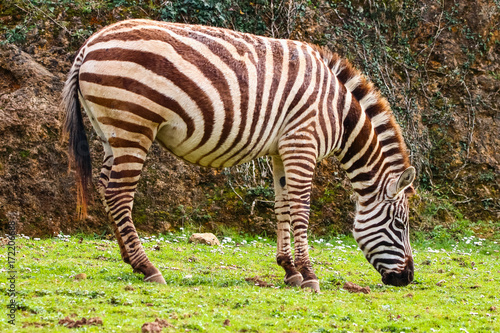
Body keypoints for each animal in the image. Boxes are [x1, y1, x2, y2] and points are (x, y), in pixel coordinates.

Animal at [62, 18, 416, 290]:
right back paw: (148, 267)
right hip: (133, 123)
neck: (340, 114)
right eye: (400, 225)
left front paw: (290, 270)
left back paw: (131, 261)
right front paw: (310, 275)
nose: (408, 278)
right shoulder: (302, 142)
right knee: (119, 192)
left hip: (110, 131)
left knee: (106, 187)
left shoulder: (281, 150)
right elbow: (301, 208)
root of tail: (89, 45)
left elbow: (282, 206)